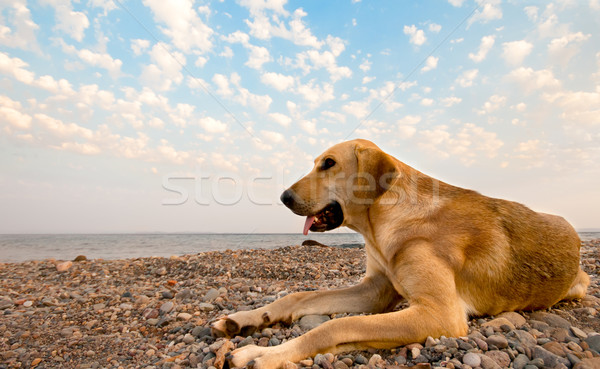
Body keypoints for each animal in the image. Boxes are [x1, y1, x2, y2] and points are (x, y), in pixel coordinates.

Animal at [212, 139, 592, 368]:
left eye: (329, 164)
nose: (284, 197)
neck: (383, 222)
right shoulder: (375, 291)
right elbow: (300, 297)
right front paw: (248, 317)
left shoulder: (440, 314)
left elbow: (333, 327)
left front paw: (263, 354)